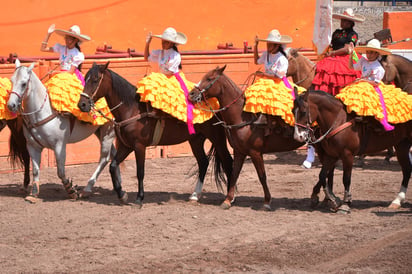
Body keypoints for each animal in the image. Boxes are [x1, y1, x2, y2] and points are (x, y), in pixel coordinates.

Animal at [6, 59, 116, 201]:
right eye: (12, 80)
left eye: (24, 83)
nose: (11, 105)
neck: (43, 112)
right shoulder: (32, 146)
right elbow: (35, 170)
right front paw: (33, 194)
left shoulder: (59, 146)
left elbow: (60, 171)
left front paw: (72, 191)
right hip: (100, 131)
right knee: (113, 154)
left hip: (109, 132)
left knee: (104, 158)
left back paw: (88, 188)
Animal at [76, 62, 232, 208]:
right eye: (85, 78)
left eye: (95, 79)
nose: (82, 104)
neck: (132, 109)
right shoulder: (127, 146)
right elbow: (113, 166)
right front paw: (122, 195)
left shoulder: (139, 146)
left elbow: (140, 172)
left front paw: (139, 199)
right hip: (195, 140)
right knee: (203, 162)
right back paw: (195, 195)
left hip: (217, 138)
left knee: (228, 161)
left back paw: (228, 198)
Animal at [188, 65, 304, 210]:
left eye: (209, 78)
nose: (191, 94)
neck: (243, 116)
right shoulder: (239, 152)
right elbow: (234, 174)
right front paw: (228, 200)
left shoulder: (255, 153)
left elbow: (262, 176)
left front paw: (267, 202)